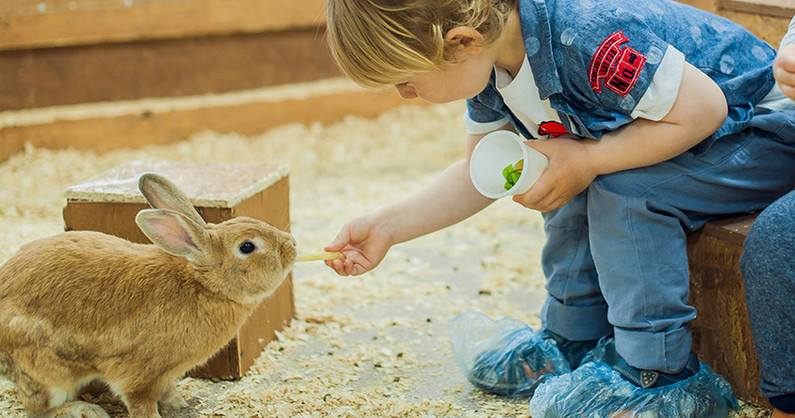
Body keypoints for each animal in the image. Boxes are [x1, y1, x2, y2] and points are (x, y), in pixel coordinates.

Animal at [0, 172, 296, 414]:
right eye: (247, 246)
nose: (291, 245)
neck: (204, 285)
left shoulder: (165, 374)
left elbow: (166, 390)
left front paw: (178, 402)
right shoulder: (140, 374)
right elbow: (140, 400)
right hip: (49, 373)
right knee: (38, 408)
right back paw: (83, 410)